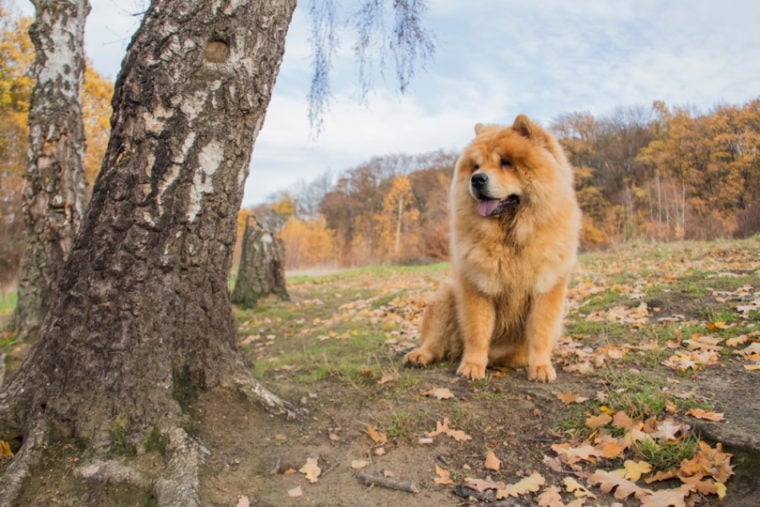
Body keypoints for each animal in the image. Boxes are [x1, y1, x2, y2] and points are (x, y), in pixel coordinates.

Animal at [406, 115, 580, 382]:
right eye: (476, 166)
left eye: (506, 163)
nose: (477, 178)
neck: (511, 237)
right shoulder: (478, 287)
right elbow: (478, 331)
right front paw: (472, 367)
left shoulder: (546, 289)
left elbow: (540, 332)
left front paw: (541, 368)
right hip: (445, 297)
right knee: (434, 342)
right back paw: (419, 356)